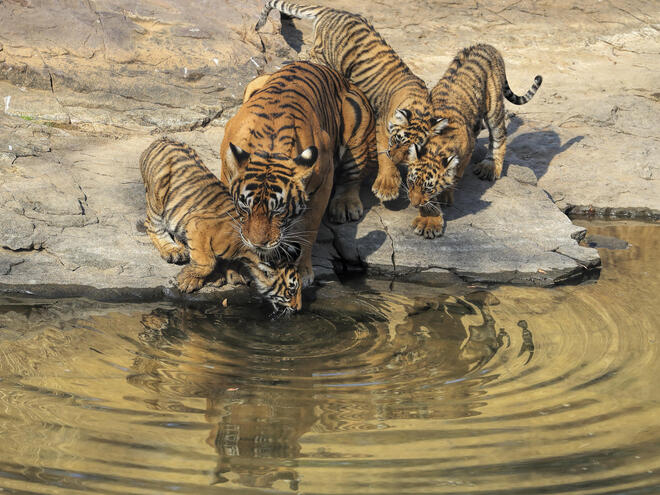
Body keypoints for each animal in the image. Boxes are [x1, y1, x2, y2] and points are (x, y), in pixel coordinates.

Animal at [142, 137, 304, 314]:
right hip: (158, 197)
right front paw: (188, 279)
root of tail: (163, 139)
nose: (298, 308)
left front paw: (222, 276)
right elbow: (207, 261)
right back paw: (173, 250)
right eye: (291, 291)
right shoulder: (198, 225)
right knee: (151, 224)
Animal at [220, 61, 376, 286]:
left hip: (357, 121)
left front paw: (302, 272)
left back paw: (345, 206)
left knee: (352, 176)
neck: (270, 149)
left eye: (277, 211)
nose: (258, 244)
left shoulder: (323, 181)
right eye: (245, 207)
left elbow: (307, 228)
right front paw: (235, 269)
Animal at [253, 0, 444, 202]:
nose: (397, 159)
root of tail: (332, 11)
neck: (419, 104)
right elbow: (384, 153)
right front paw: (387, 186)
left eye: (411, 148)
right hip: (324, 54)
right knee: (310, 54)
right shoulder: (383, 125)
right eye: (398, 140)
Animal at [408, 45, 540, 239]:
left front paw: (440, 204)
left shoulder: (463, 154)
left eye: (428, 189)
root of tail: (487, 46)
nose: (414, 203)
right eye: (411, 183)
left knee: (499, 135)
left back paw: (489, 167)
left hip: (494, 106)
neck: (436, 146)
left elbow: (451, 180)